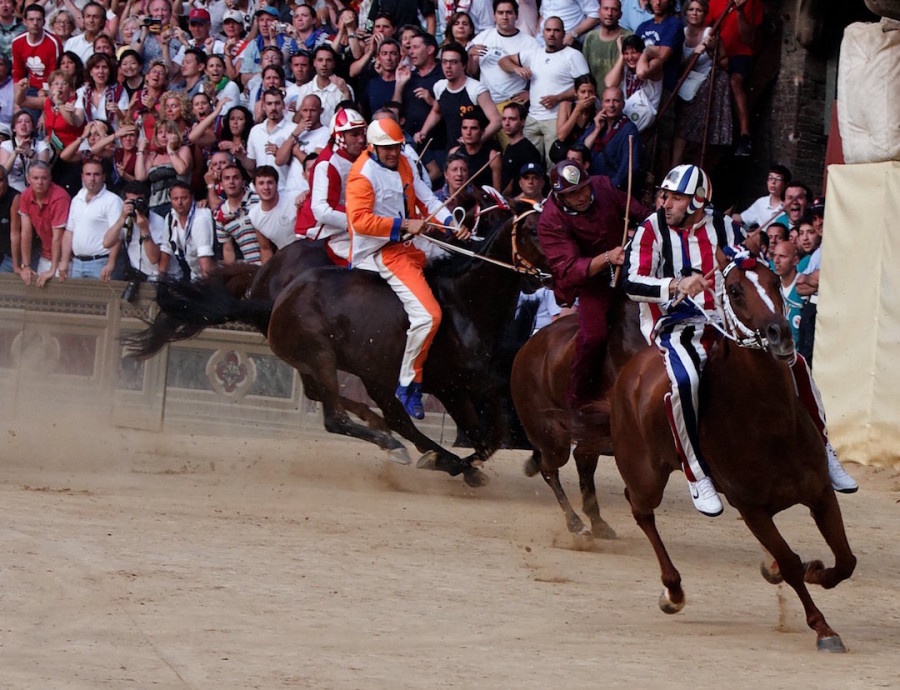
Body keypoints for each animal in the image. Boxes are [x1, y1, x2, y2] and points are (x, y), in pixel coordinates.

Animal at [512, 290, 648, 536]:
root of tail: (525, 349)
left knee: (581, 459)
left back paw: (597, 522)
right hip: (552, 433)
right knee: (551, 468)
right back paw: (576, 524)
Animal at [612, 249, 856, 652]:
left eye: (775, 281)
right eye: (736, 290)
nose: (780, 334)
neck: (769, 424)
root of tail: (632, 369)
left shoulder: (819, 491)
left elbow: (845, 559)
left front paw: (816, 570)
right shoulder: (752, 508)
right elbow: (790, 562)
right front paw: (823, 627)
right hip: (645, 472)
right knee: (640, 508)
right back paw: (673, 591)